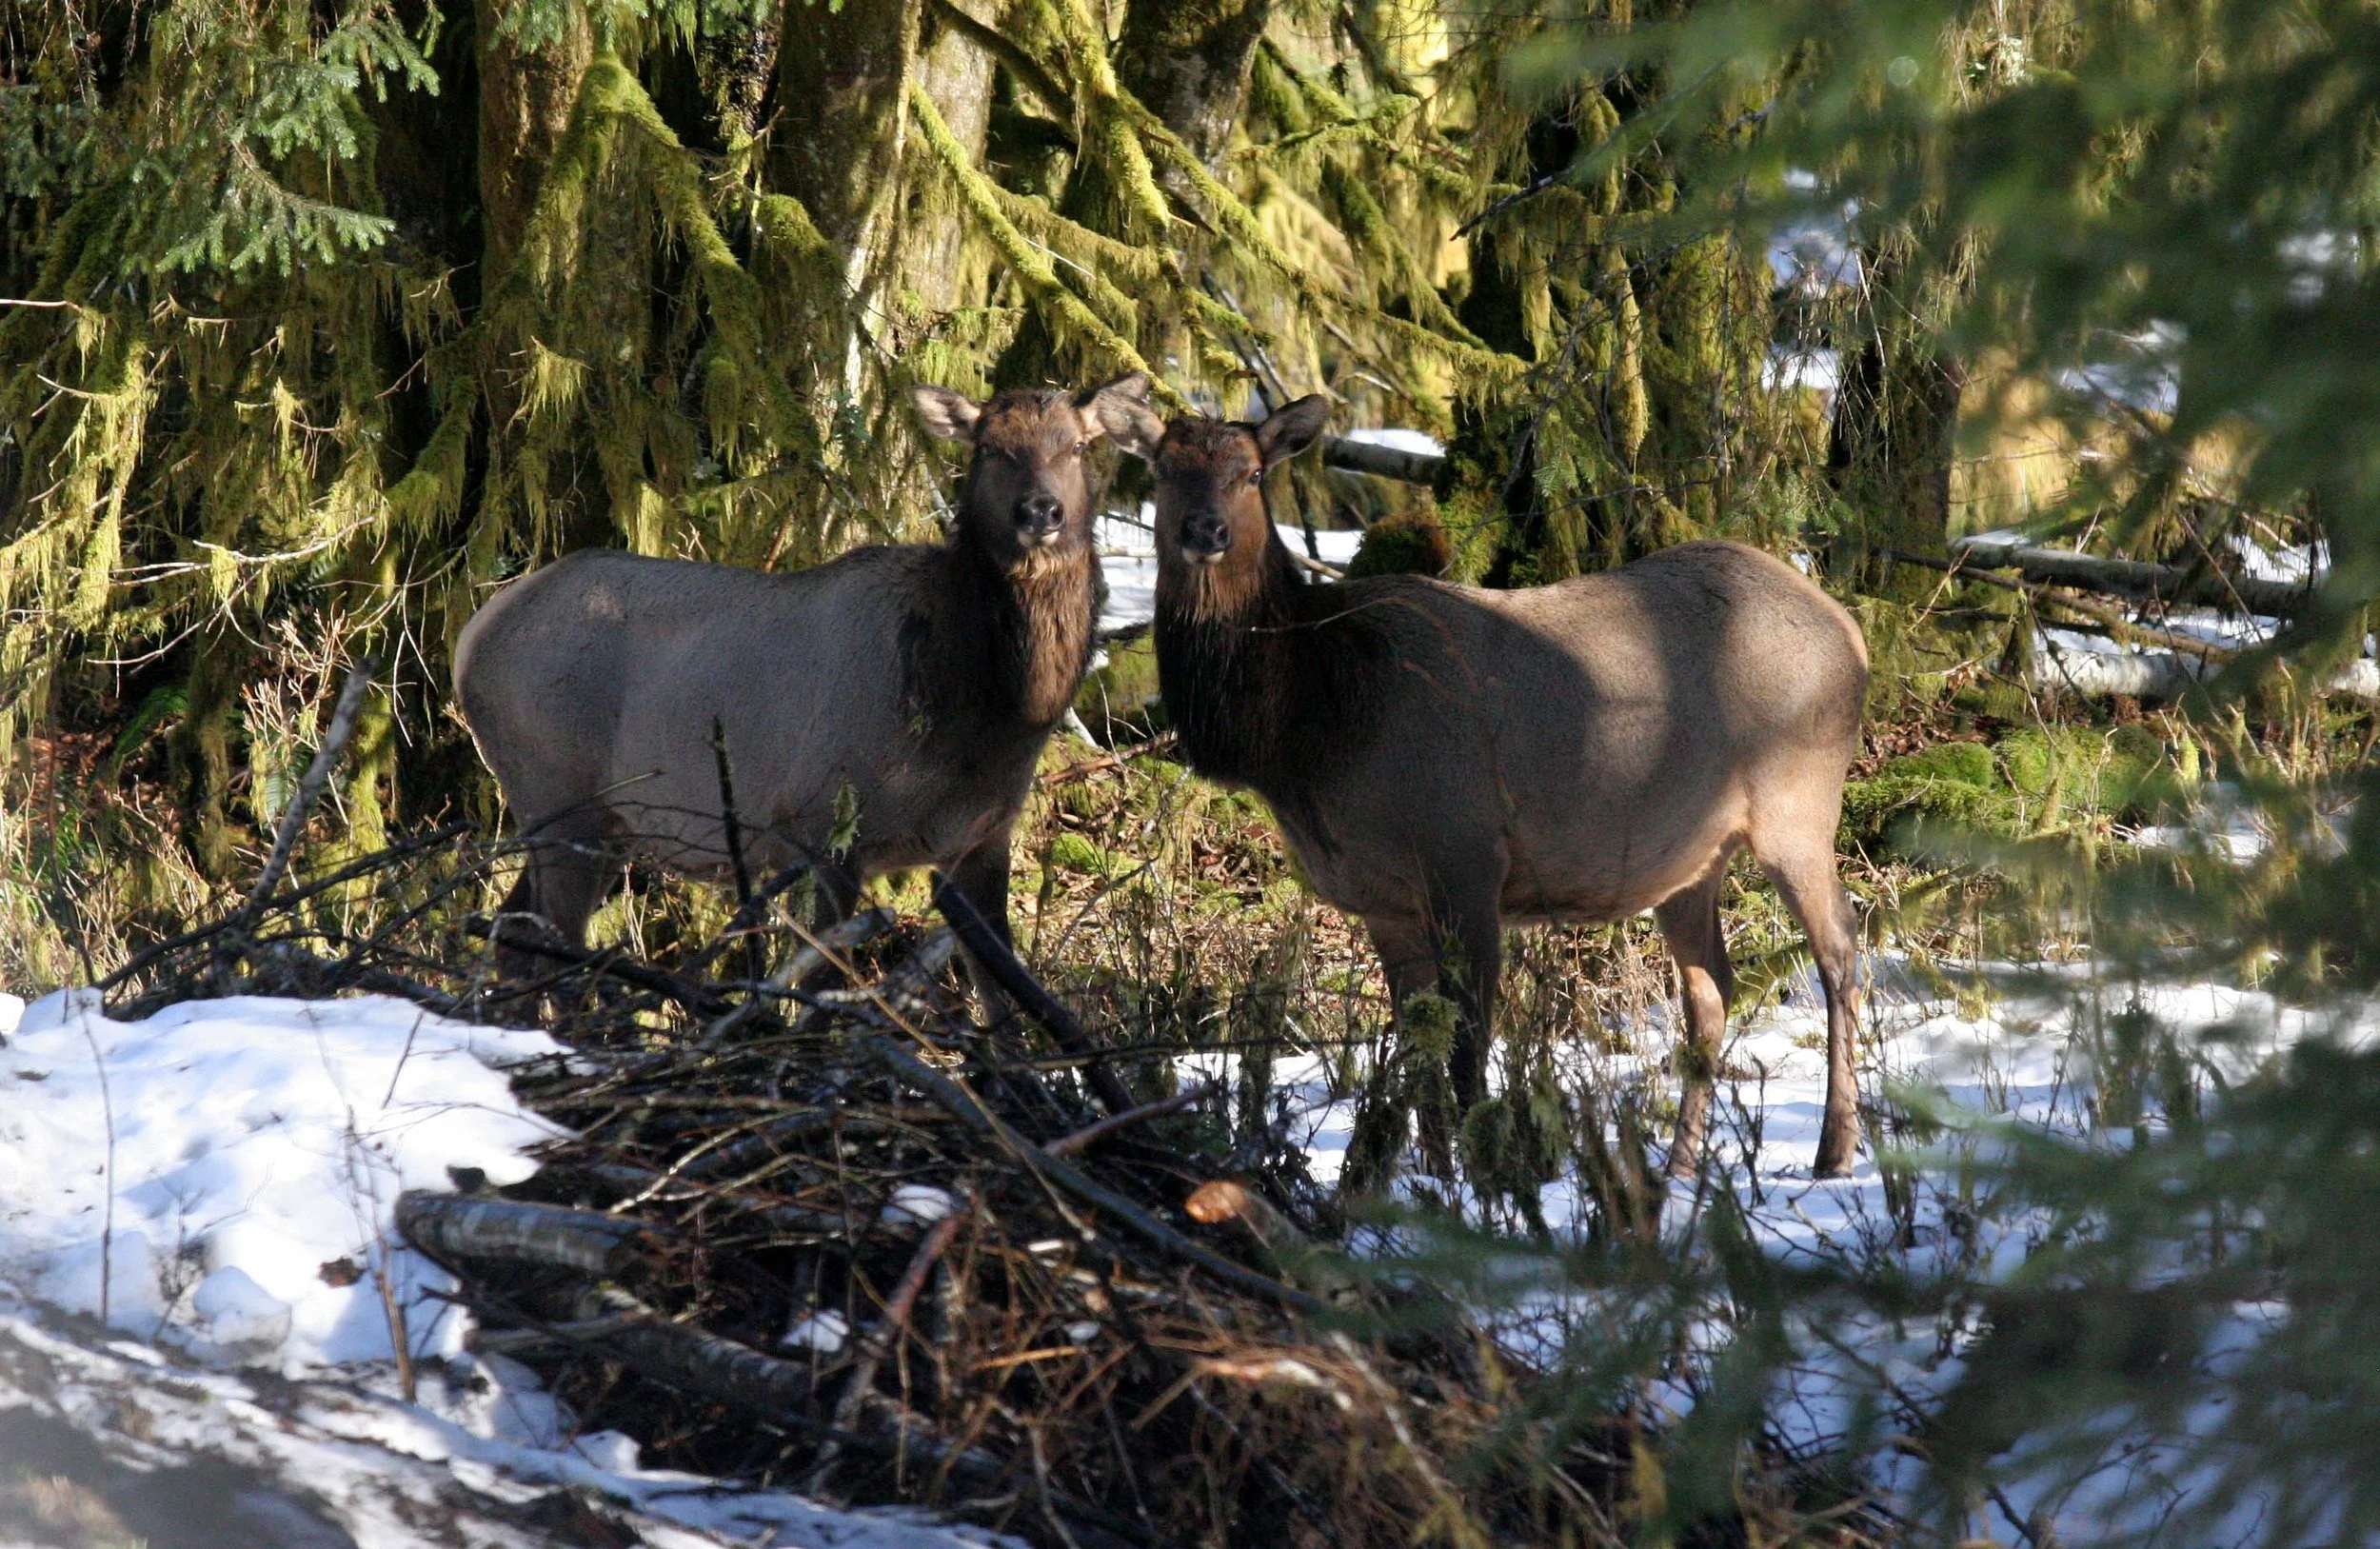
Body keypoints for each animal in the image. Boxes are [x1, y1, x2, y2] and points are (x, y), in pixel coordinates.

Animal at [453, 373, 1152, 972]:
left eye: (1079, 445)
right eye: (990, 448)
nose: (1040, 511)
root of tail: (470, 637)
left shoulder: (981, 839)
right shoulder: (820, 824)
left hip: (599, 822)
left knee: (511, 936)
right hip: (556, 793)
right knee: (550, 950)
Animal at [1099, 394, 1872, 1178]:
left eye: (1253, 473)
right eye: (1162, 470)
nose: (1206, 532)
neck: (1312, 729)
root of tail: (1851, 631)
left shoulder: (1465, 853)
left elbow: (1470, 1042)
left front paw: (1481, 1176)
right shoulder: (1383, 898)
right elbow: (1420, 1042)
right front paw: (1433, 1173)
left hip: (1798, 800)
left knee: (1841, 949)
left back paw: (1834, 1150)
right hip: (1692, 853)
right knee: (1711, 985)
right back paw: (1681, 1165)